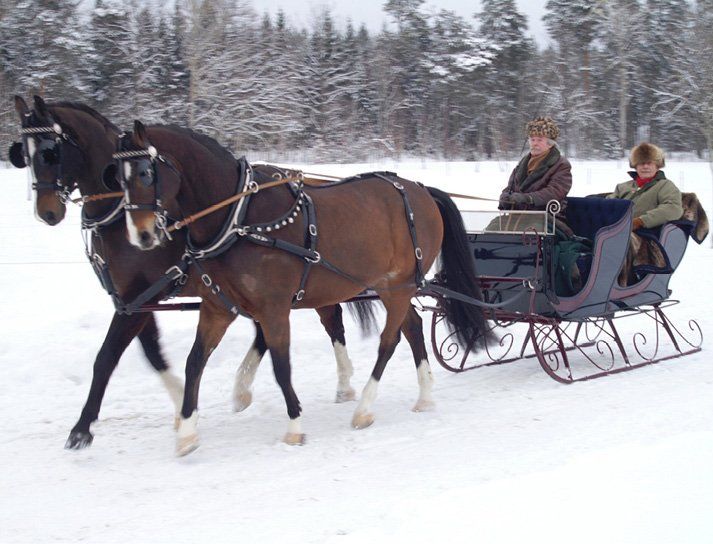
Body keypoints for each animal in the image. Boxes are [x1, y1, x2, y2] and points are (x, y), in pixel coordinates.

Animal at [8, 96, 368, 449]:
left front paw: (82, 429)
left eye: (50, 152)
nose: (47, 212)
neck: (116, 216)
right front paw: (182, 408)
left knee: (329, 321)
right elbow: (153, 353)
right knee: (280, 329)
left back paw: (340, 383)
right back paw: (250, 389)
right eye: (24, 153)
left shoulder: (138, 299)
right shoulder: (135, 300)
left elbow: (108, 357)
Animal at [114, 120, 489, 456]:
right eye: (118, 178)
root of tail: (422, 189)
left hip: (398, 286)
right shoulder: (217, 308)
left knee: (389, 340)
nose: (140, 236)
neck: (239, 218)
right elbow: (195, 362)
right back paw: (425, 396)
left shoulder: (274, 309)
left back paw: (364, 409)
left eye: (146, 174)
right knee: (412, 328)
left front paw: (294, 427)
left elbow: (281, 367)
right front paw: (188, 432)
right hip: (394, 287)